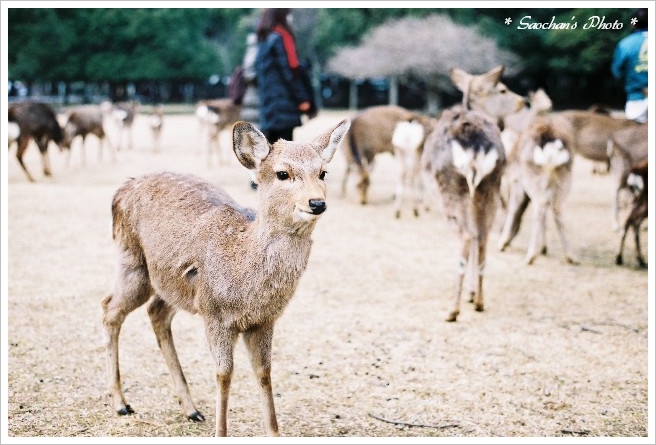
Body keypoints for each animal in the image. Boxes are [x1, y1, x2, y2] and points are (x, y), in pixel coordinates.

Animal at [102, 116, 352, 436]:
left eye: (323, 172)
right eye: (283, 173)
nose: (317, 203)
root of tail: (121, 189)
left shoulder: (264, 320)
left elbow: (264, 372)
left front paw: (274, 431)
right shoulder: (214, 313)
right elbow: (224, 373)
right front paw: (221, 432)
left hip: (172, 285)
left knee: (156, 313)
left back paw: (191, 409)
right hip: (132, 263)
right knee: (110, 309)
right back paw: (121, 403)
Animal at [420, 64, 524, 320]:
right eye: (503, 89)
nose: (523, 101)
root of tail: (475, 145)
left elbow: (471, 235)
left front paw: (467, 293)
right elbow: (479, 235)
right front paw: (472, 292)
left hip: (451, 189)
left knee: (468, 235)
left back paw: (452, 309)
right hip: (491, 185)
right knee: (483, 235)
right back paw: (479, 301)